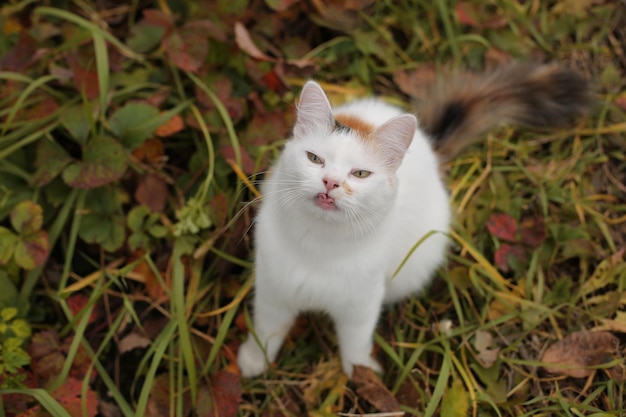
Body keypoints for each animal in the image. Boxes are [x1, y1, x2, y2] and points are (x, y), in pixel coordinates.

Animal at [236, 62, 588, 376]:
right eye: (314, 159)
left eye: (360, 174)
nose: (330, 183)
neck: (320, 246)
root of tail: (429, 144)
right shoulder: (273, 290)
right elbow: (266, 332)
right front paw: (254, 362)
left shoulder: (362, 302)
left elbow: (355, 342)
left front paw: (361, 376)